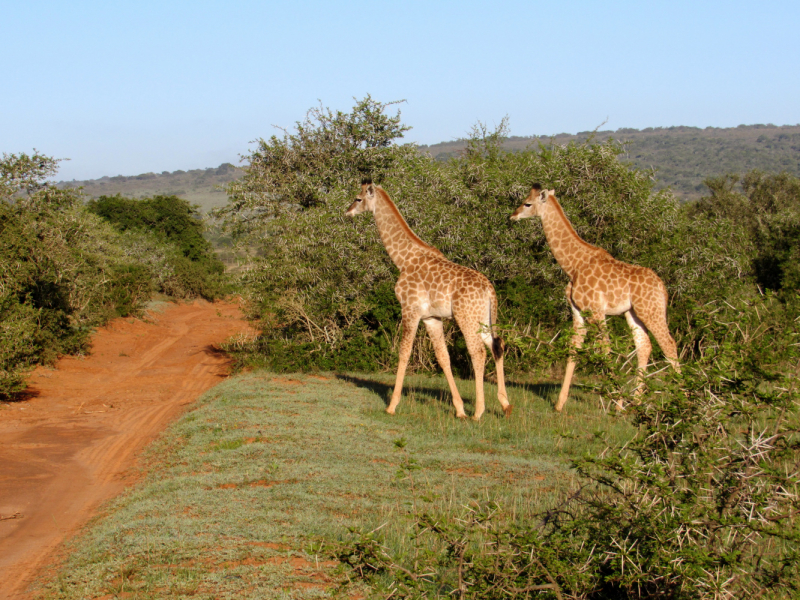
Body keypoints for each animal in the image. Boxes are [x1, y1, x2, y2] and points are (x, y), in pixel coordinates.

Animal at [346, 180, 512, 420]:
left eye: (358, 198)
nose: (347, 211)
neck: (403, 259)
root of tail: (489, 290)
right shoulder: (431, 317)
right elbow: (443, 357)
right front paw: (459, 409)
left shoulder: (410, 309)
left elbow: (404, 353)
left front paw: (392, 405)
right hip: (486, 318)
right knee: (497, 345)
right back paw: (505, 405)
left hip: (467, 318)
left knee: (478, 352)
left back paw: (479, 412)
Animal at [510, 185, 680, 412]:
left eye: (527, 203)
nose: (512, 215)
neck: (573, 265)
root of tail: (662, 288)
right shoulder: (578, 311)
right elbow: (574, 348)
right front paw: (559, 404)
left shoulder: (596, 311)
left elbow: (605, 348)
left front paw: (616, 400)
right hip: (633, 313)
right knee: (644, 346)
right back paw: (636, 402)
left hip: (651, 310)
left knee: (669, 345)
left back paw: (683, 398)